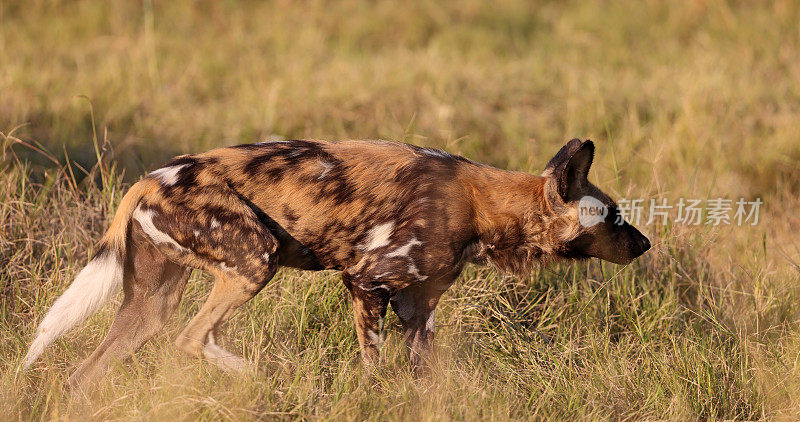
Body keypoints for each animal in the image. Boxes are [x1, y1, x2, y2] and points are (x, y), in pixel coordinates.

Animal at [23, 138, 648, 390]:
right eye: (615, 217)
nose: (645, 244)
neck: (485, 206)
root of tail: (150, 178)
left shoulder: (418, 310)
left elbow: (425, 375)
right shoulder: (365, 280)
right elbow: (373, 364)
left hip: (149, 306)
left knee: (88, 372)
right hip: (255, 259)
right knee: (191, 337)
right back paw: (263, 379)